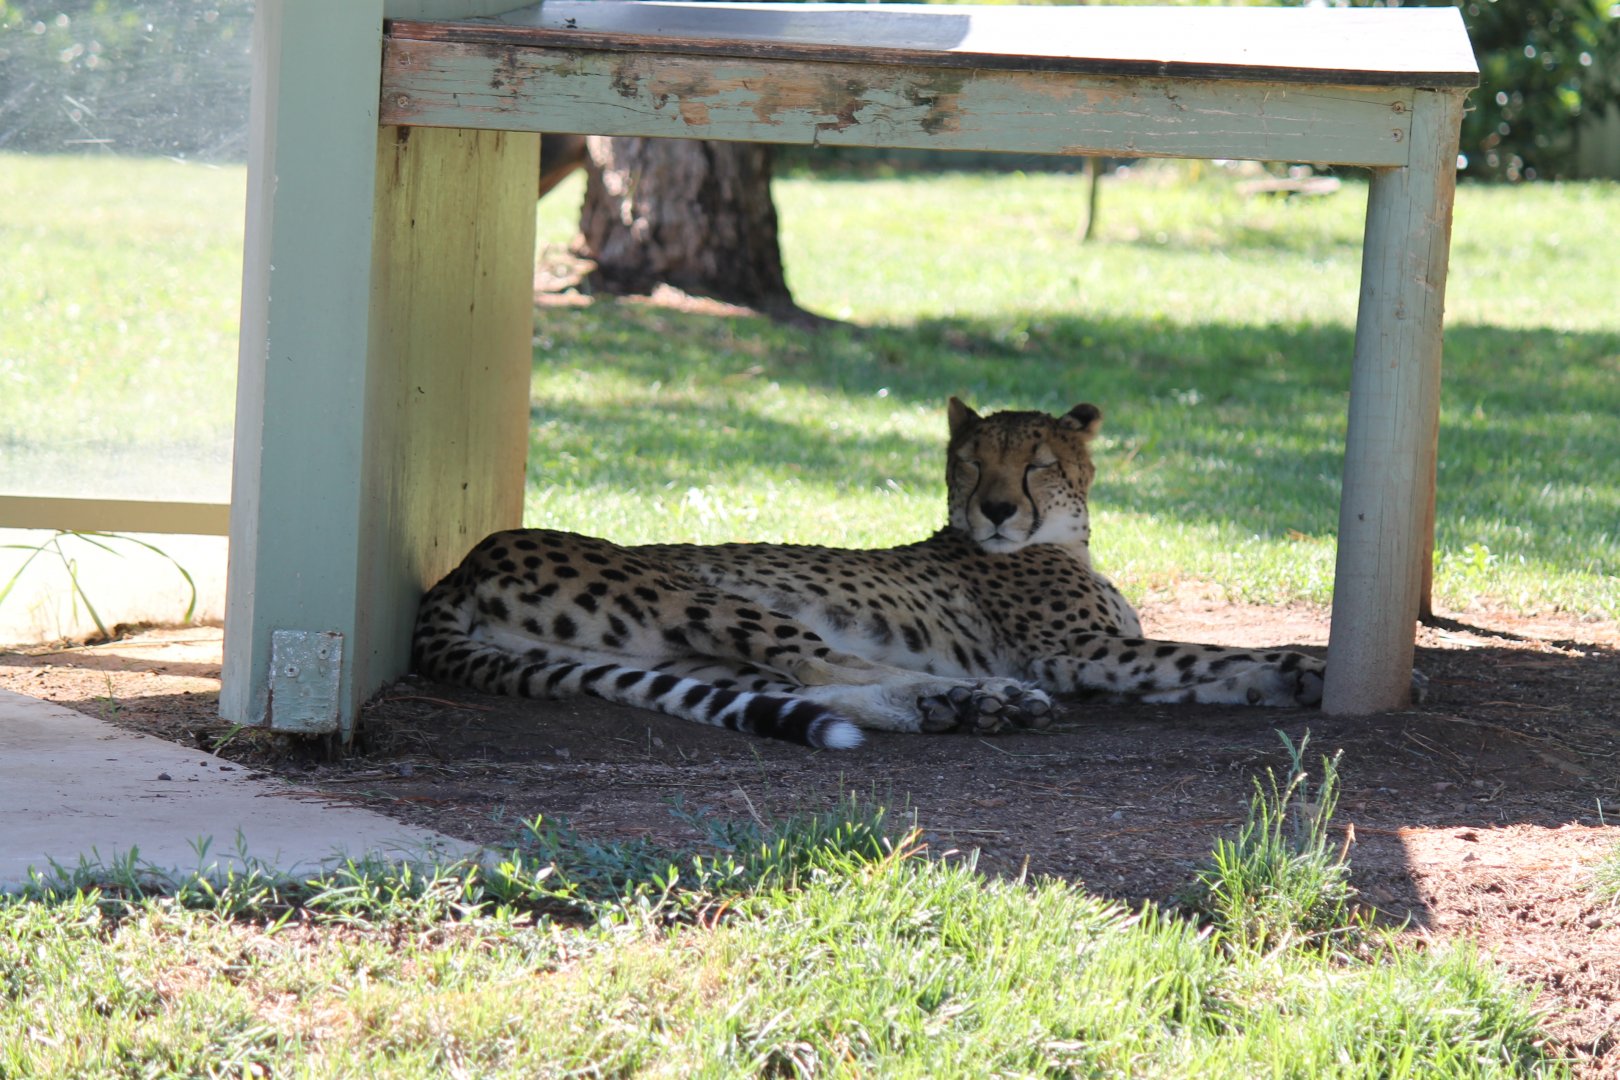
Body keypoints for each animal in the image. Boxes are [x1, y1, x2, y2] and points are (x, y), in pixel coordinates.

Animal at [413, 398, 1371, 750]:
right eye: (971, 463)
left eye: (1036, 463)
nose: (996, 509)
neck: (1060, 540)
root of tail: (462, 562)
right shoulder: (1077, 654)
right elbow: (1208, 653)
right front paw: (1310, 664)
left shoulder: (1104, 656)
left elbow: (1205, 669)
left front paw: (1284, 681)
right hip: (697, 596)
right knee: (821, 657)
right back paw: (975, 696)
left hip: (668, 652)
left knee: (803, 683)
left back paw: (954, 705)